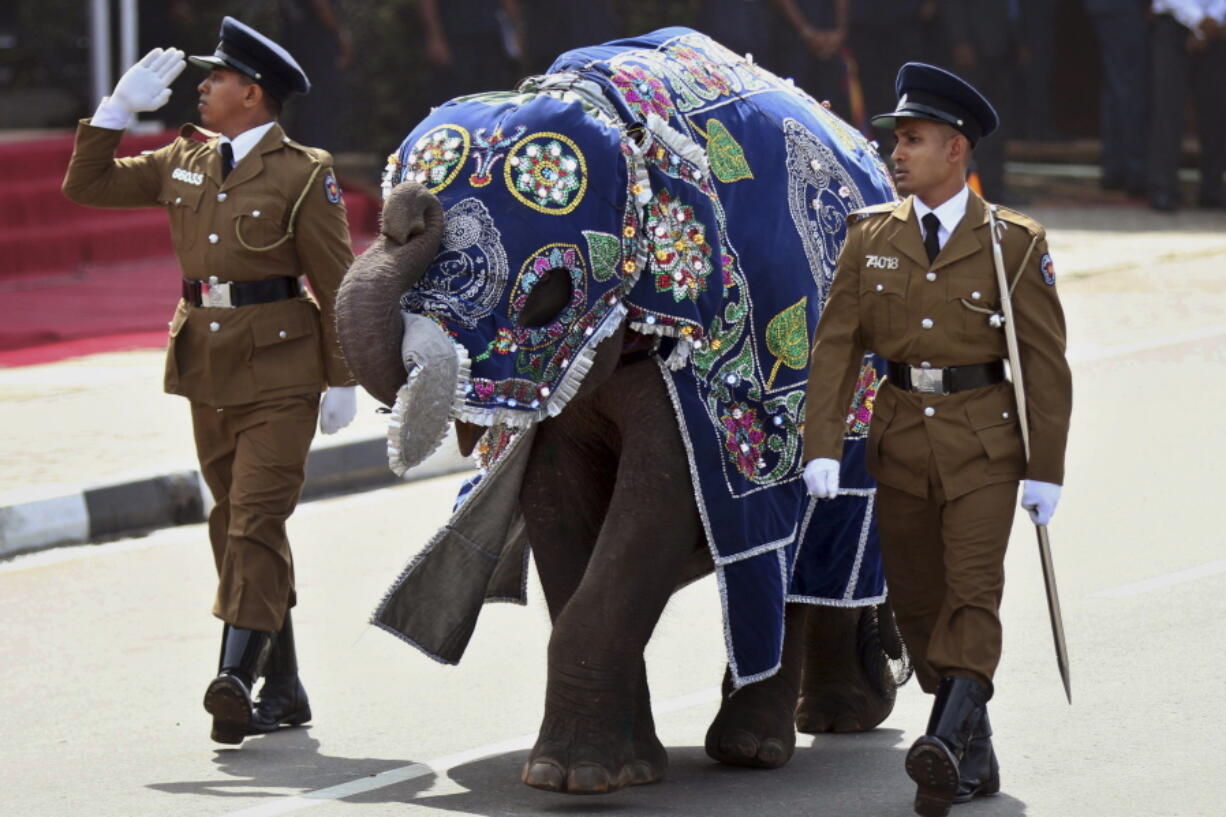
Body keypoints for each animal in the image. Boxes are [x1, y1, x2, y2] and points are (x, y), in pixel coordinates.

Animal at [335, 28, 912, 790]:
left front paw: (575, 776)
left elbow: (662, 505)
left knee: (807, 534)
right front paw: (610, 771)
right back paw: (824, 716)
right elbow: (556, 501)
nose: (404, 210)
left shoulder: (700, 372)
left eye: (544, 292)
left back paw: (766, 743)